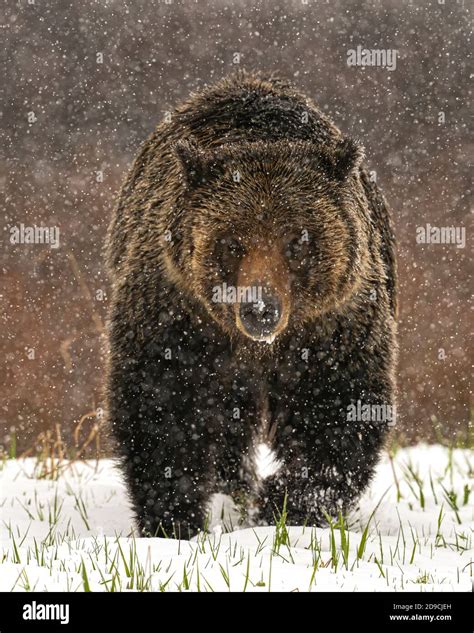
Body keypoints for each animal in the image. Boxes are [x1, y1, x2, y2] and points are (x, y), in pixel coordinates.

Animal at [105, 73, 398, 540]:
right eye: (231, 242)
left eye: (298, 239)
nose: (259, 309)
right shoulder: (176, 313)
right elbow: (162, 407)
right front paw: (175, 518)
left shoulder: (333, 327)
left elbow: (339, 414)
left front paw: (285, 507)